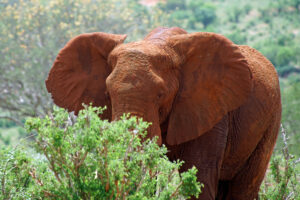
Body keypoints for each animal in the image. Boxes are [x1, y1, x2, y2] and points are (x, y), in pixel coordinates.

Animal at [45, 27, 282, 200]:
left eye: (161, 95)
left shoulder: (211, 111)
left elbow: (200, 178)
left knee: (244, 186)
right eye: (107, 94)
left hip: (271, 120)